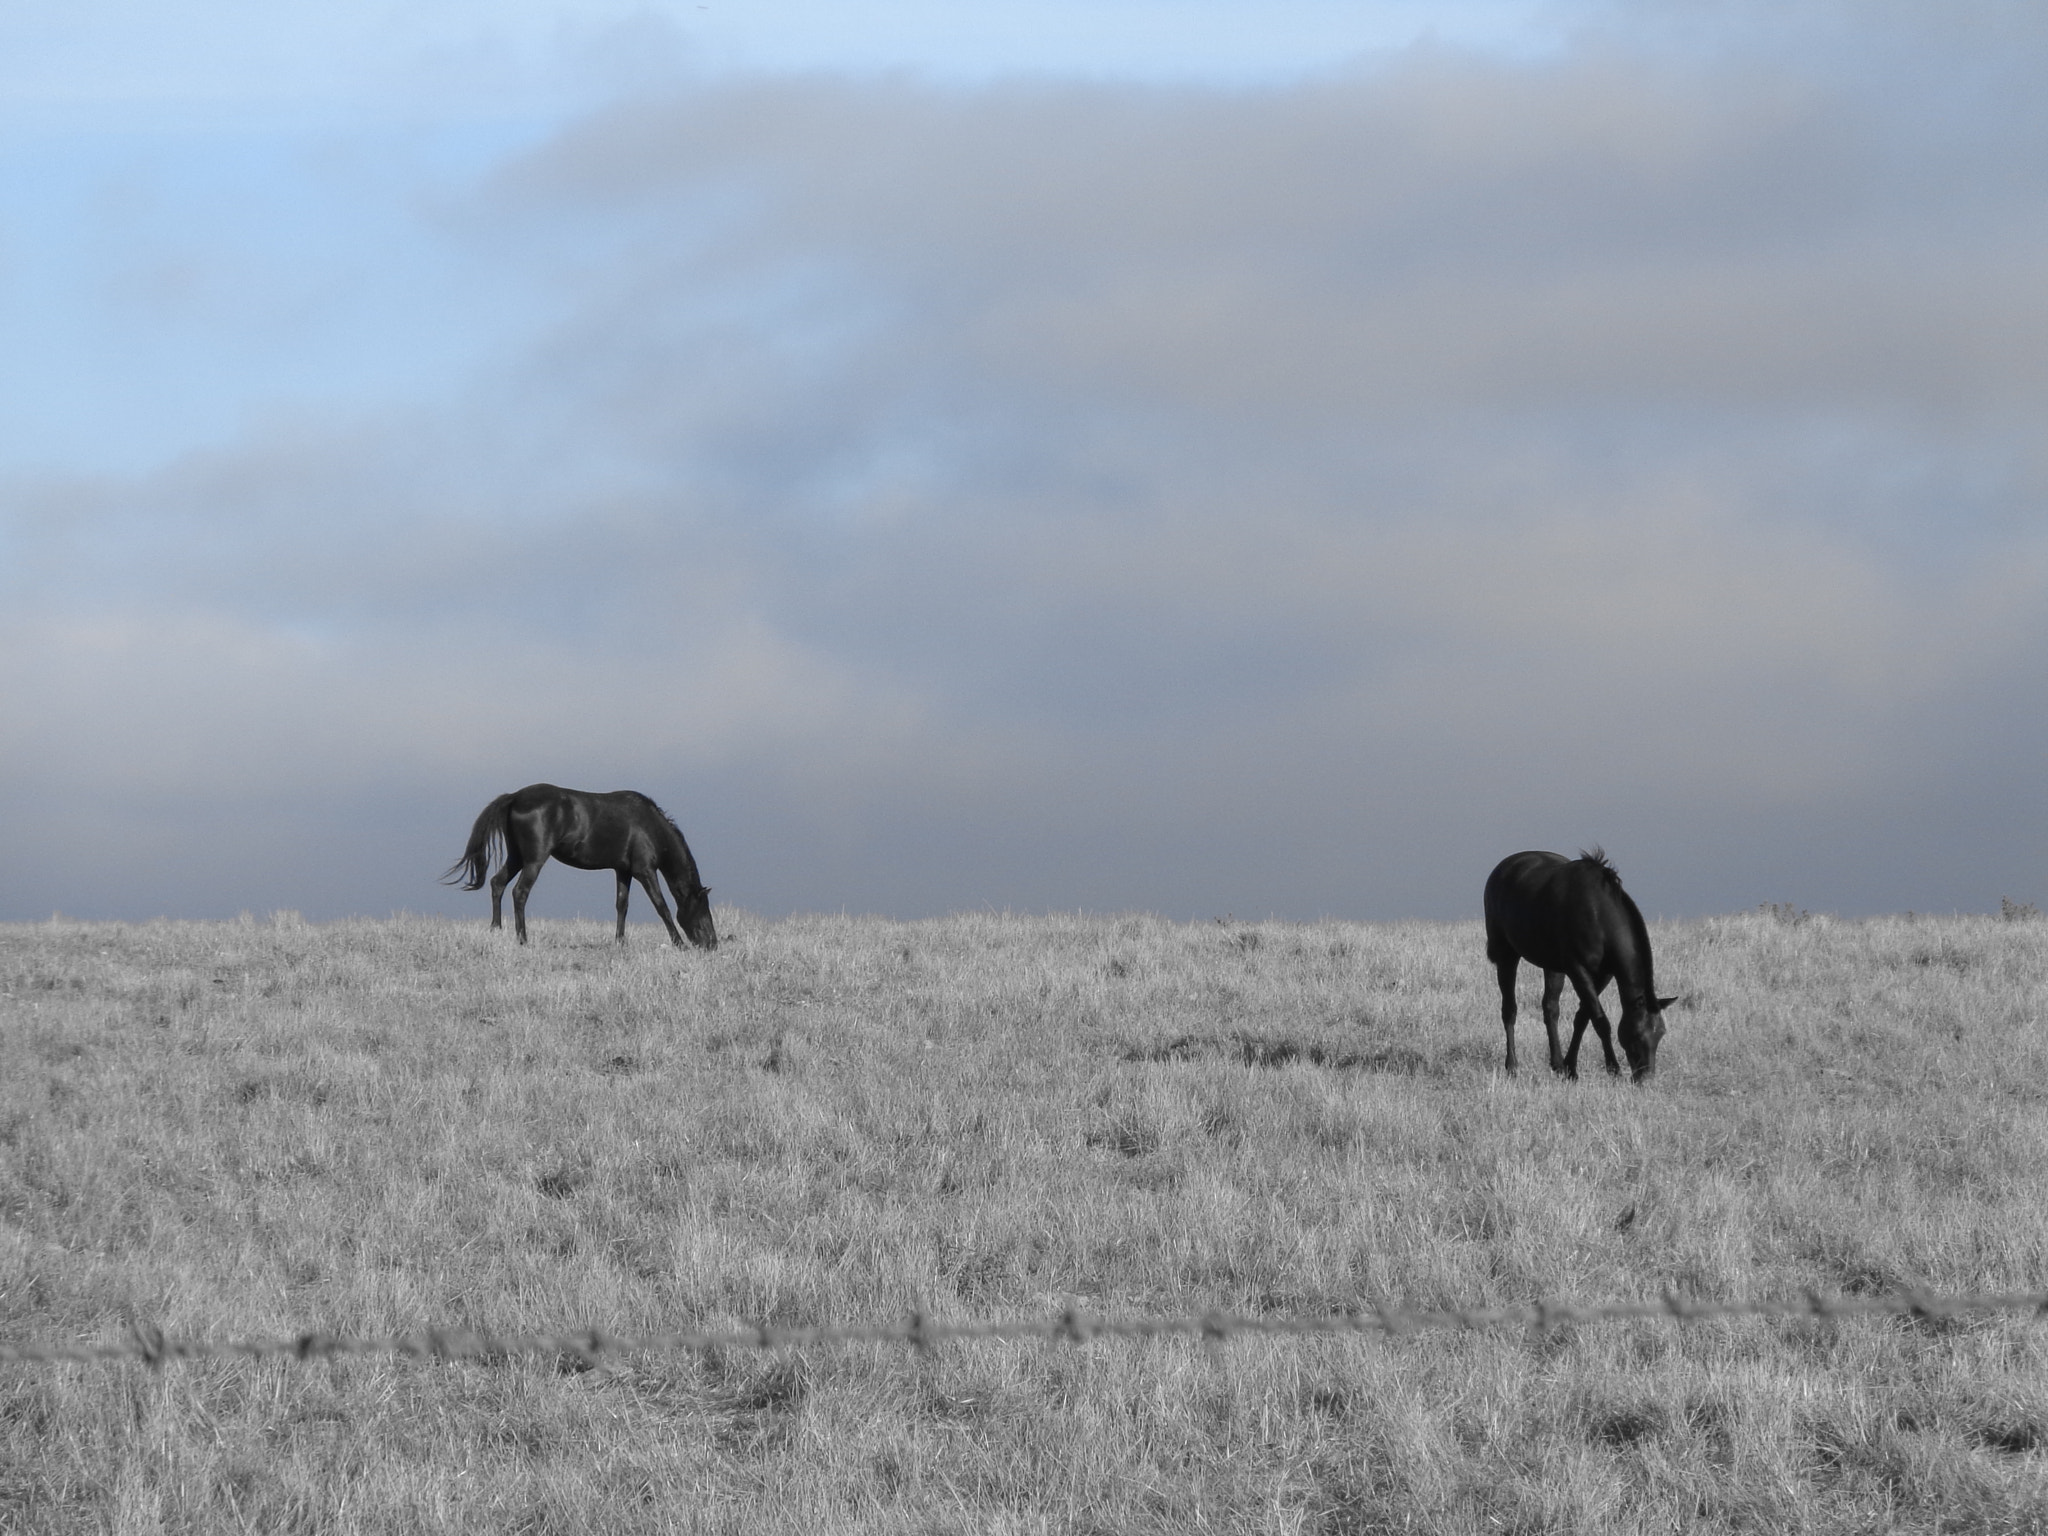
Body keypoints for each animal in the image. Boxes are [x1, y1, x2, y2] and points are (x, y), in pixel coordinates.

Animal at [444, 786, 716, 958]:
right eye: (703, 908)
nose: (712, 943)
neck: (650, 827)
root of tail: (515, 797)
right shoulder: (645, 871)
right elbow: (662, 906)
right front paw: (679, 943)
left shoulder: (623, 871)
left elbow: (622, 905)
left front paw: (620, 941)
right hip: (533, 861)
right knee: (519, 892)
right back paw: (523, 939)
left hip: (517, 857)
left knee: (497, 883)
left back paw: (496, 929)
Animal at [1482, 856, 1671, 1081]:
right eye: (1637, 1033)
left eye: (1660, 1033)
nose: (1646, 1078)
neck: (1599, 914)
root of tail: (1501, 868)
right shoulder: (1578, 970)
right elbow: (1600, 1021)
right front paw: (1613, 1069)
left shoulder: (1604, 975)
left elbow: (1583, 1017)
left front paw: (1570, 1067)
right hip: (1507, 956)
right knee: (1509, 1010)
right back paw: (1512, 1066)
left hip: (1552, 967)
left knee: (1550, 1009)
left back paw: (1556, 1063)